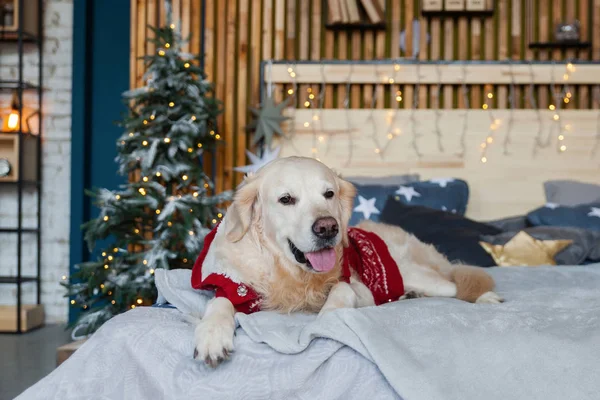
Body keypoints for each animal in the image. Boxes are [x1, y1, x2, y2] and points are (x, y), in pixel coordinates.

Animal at [192, 155, 502, 366]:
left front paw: (329, 317)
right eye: (286, 199)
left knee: (457, 282)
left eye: (328, 194)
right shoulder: (236, 286)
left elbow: (341, 290)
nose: (328, 227)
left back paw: (486, 298)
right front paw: (212, 336)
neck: (292, 273)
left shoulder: (359, 286)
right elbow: (219, 303)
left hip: (418, 274)